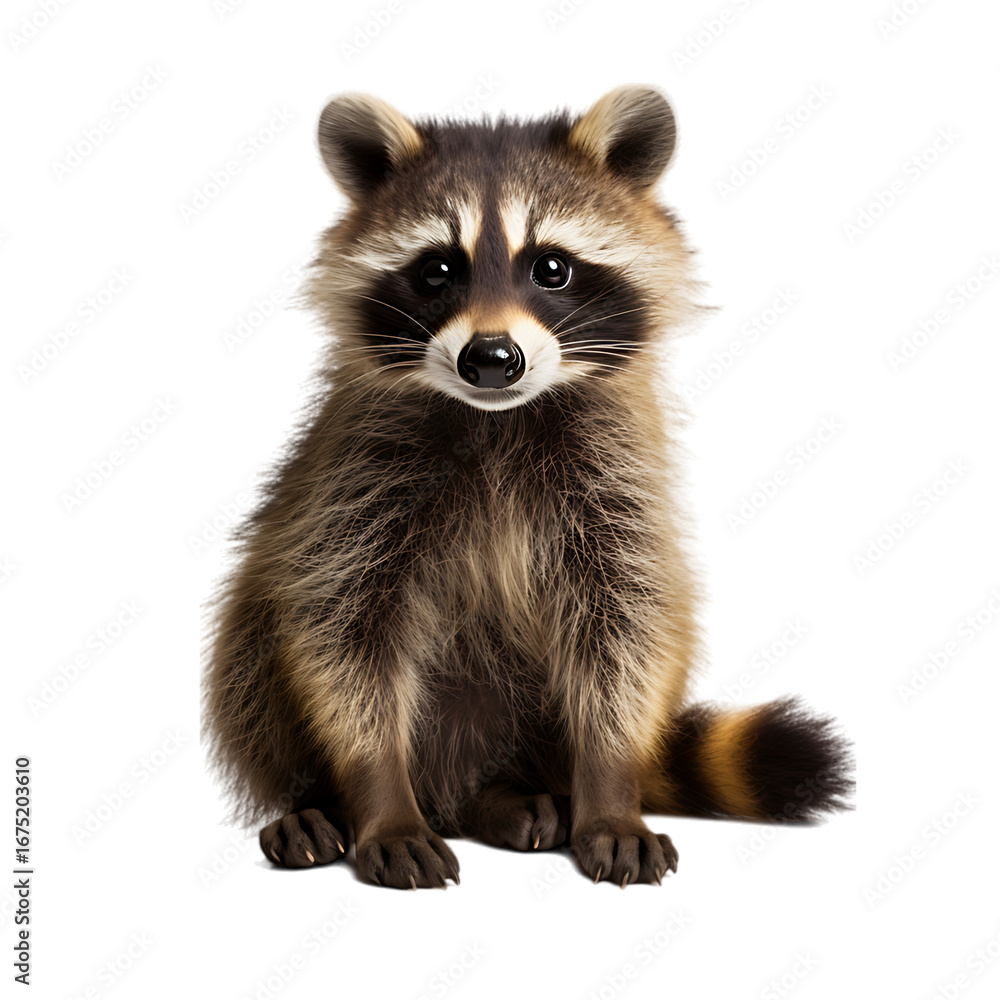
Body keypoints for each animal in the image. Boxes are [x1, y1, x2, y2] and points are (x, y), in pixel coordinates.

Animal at [203, 86, 853, 889]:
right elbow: (342, 629)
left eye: (551, 268)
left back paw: (508, 797)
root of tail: (451, 786)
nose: (491, 358)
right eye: (438, 270)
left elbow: (626, 626)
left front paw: (609, 790)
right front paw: (378, 796)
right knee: (251, 646)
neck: (496, 419)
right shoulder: (354, 484)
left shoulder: (617, 481)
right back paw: (312, 801)